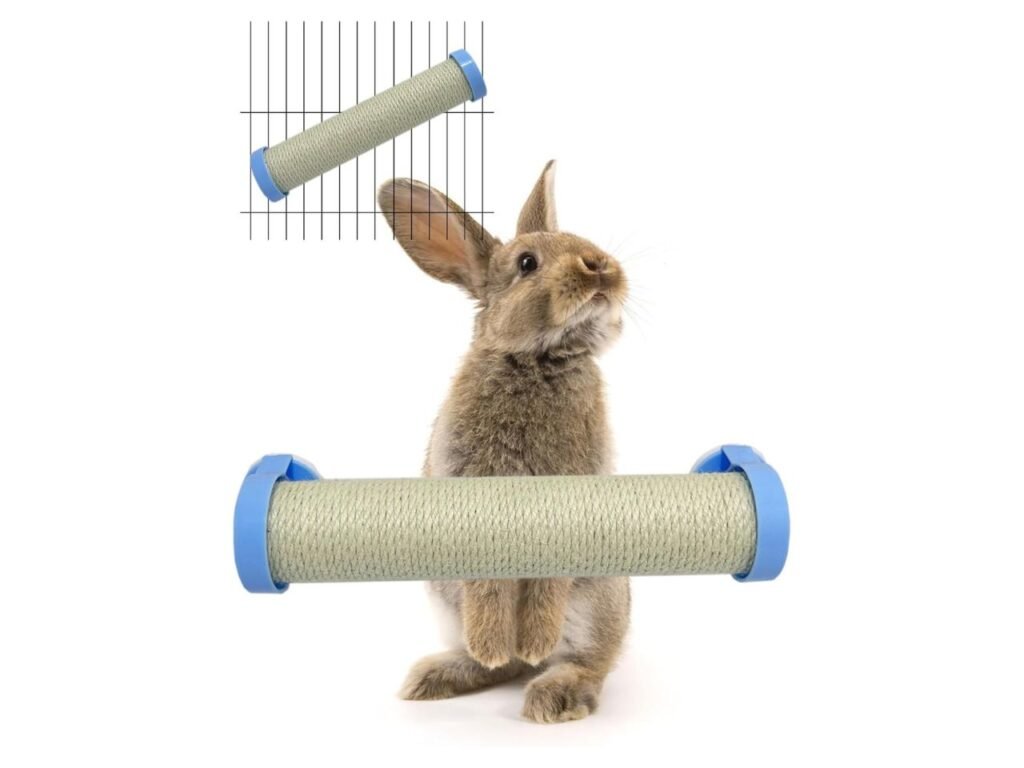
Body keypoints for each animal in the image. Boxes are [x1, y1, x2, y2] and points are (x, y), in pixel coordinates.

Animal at [377, 161, 630, 724]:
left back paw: (551, 690)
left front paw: (534, 641)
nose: (600, 266)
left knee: (589, 661)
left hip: (598, 602)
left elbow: (548, 580)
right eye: (527, 263)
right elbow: (489, 584)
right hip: (445, 598)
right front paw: (494, 643)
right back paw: (451, 671)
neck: (536, 360)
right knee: (502, 666)